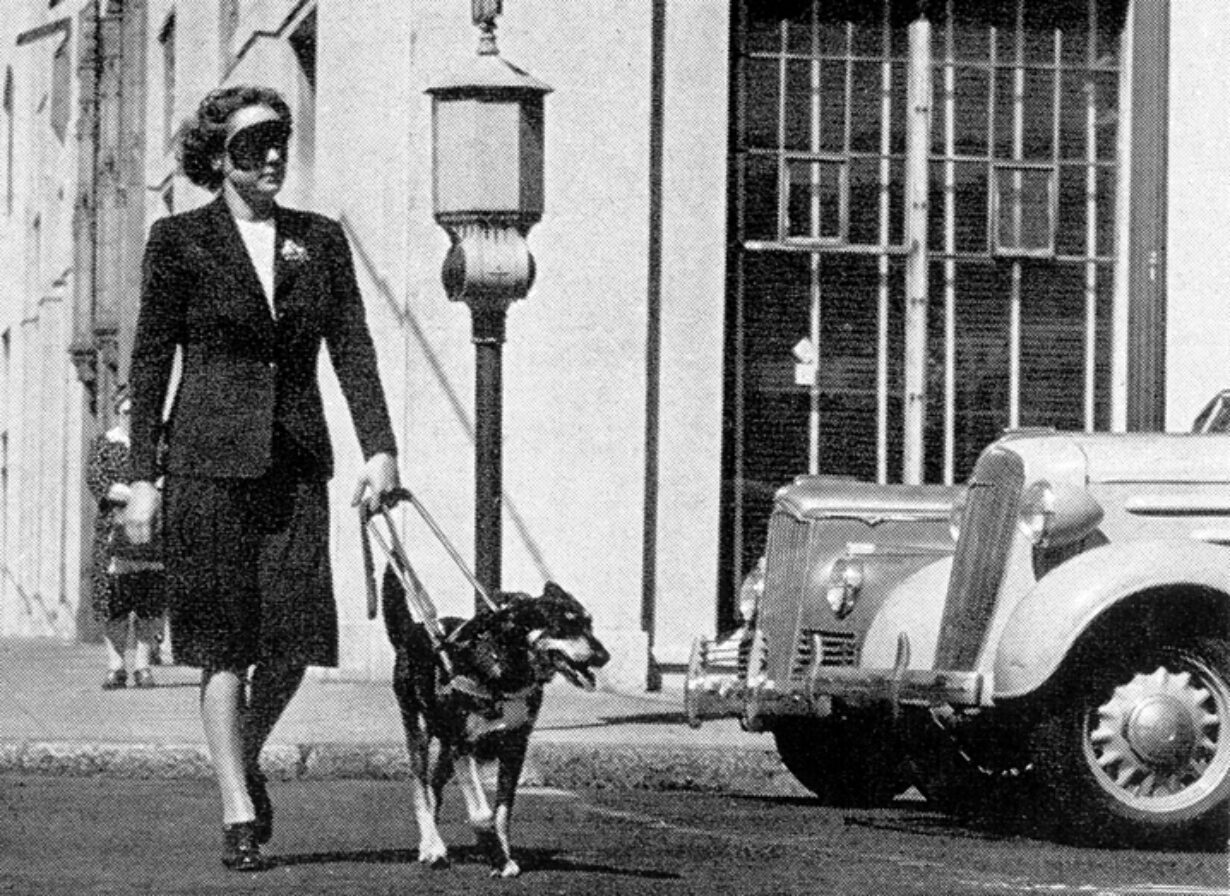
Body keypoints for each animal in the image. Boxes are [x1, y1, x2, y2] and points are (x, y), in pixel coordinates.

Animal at [383, 571, 610, 876]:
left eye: (589, 623)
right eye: (562, 626)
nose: (604, 657)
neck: (507, 669)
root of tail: (414, 629)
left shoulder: (514, 747)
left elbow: (503, 812)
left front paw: (501, 855)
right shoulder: (463, 747)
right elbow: (481, 813)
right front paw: (496, 855)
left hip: (446, 747)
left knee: (434, 787)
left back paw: (430, 843)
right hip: (420, 731)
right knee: (421, 790)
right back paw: (433, 848)